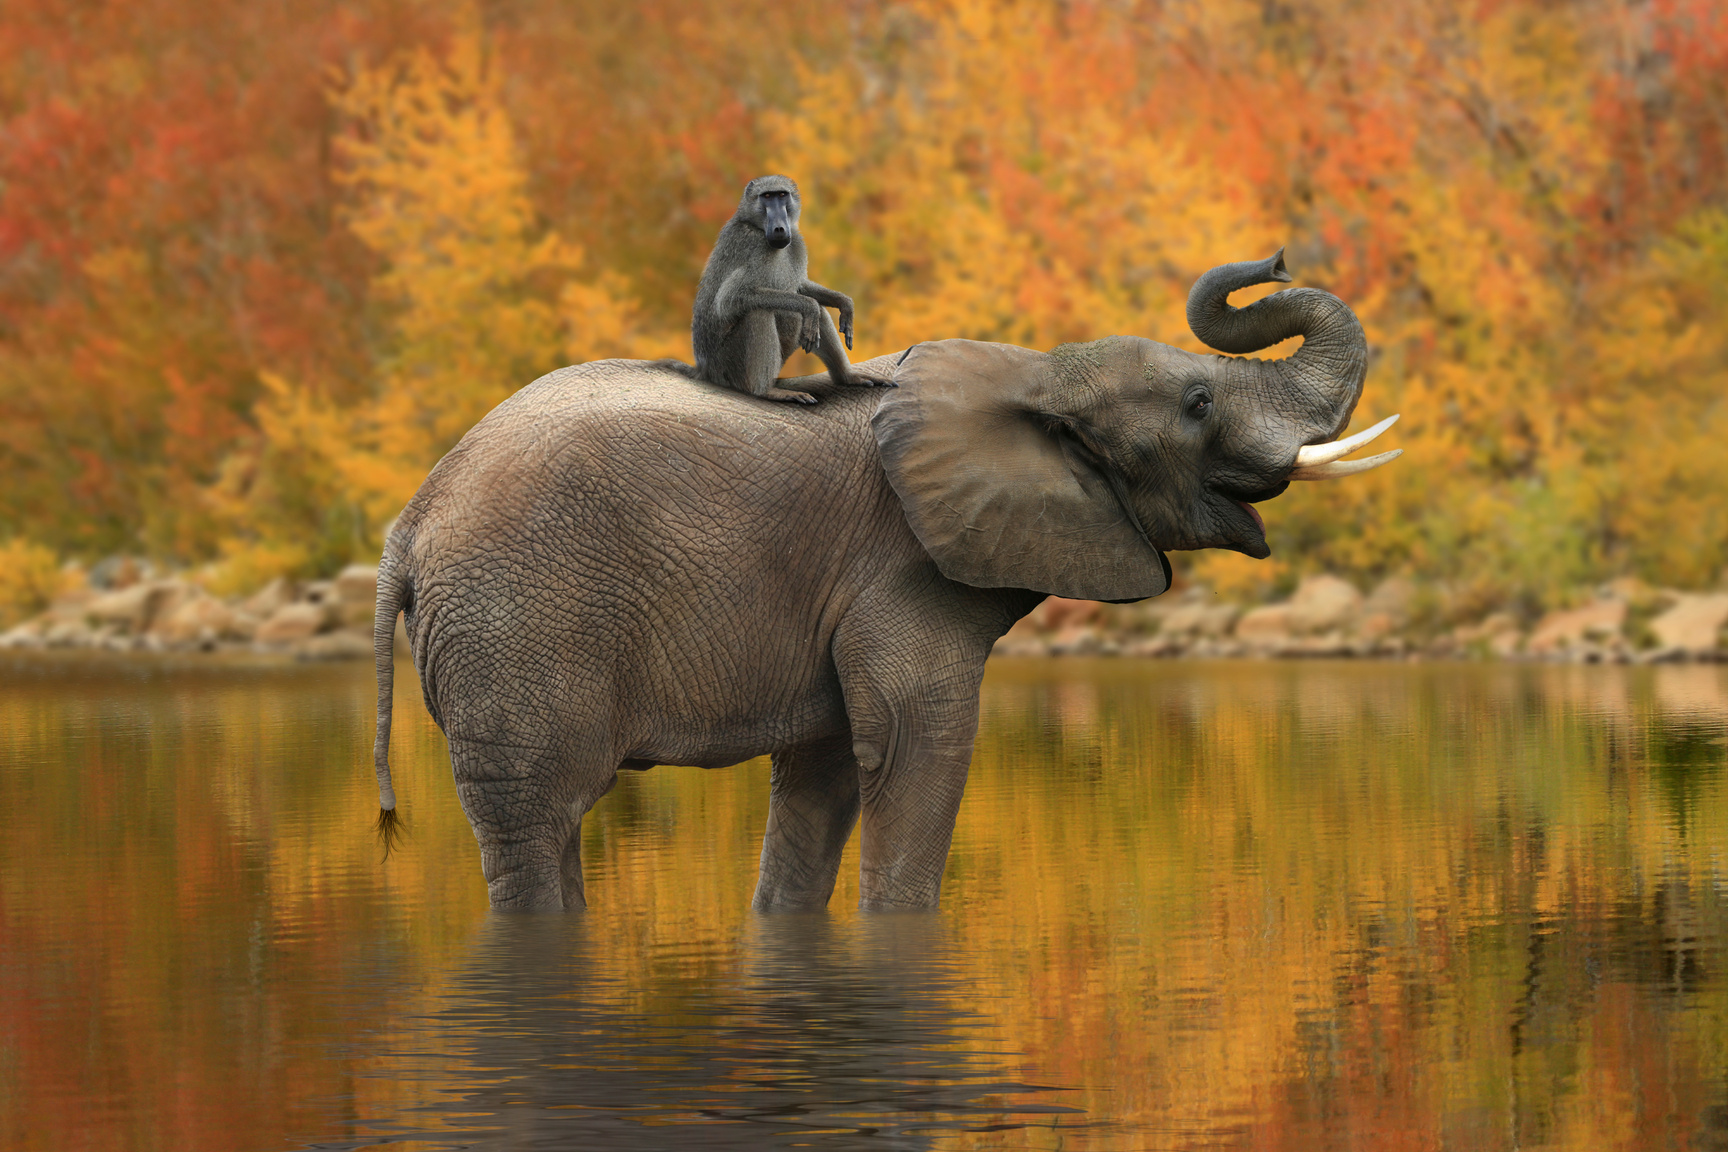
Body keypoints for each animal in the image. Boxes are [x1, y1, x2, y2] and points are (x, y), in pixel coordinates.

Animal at [369, 249, 1399, 912]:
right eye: (1197, 402)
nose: (1273, 261)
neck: (1032, 374)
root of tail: (407, 526)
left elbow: (823, 773)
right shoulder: (902, 570)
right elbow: (917, 748)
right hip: (518, 630)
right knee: (535, 822)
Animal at [663, 174, 893, 405]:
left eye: (782, 195)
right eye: (766, 196)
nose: (779, 229)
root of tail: (704, 370)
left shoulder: (796, 243)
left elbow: (800, 287)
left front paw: (844, 303)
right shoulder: (753, 246)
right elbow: (731, 298)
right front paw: (809, 306)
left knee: (818, 313)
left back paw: (847, 377)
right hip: (727, 368)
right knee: (759, 312)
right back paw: (766, 391)